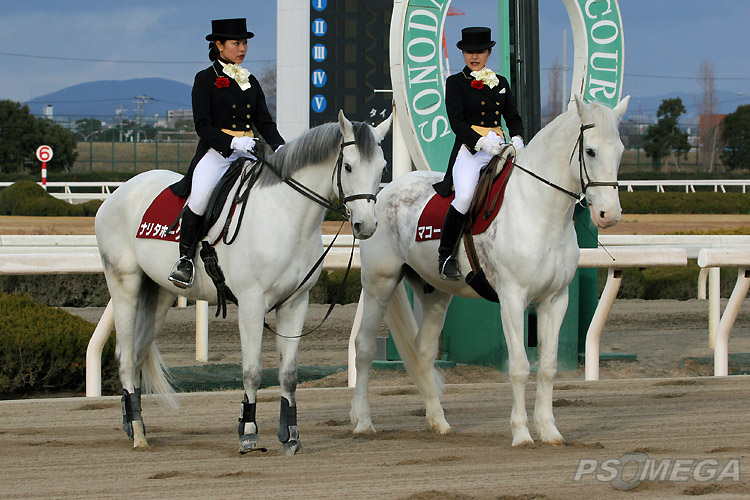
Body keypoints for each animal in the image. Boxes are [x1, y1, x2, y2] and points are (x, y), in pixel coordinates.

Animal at [95, 110, 392, 454]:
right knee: (126, 357)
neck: (283, 213)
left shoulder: (296, 303)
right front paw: (248, 432)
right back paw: (139, 434)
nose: (366, 225)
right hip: (125, 286)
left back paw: (132, 422)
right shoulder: (251, 304)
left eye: (382, 168)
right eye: (348, 166)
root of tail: (120, 192)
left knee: (139, 354)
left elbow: (289, 374)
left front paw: (290, 435)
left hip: (159, 294)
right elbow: (252, 372)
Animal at [350, 95, 629, 446]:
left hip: (436, 293)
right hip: (380, 284)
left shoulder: (555, 300)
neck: (538, 209)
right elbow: (520, 367)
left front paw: (549, 430)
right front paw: (522, 433)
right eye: (590, 151)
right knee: (363, 347)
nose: (610, 215)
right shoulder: (512, 298)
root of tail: (385, 193)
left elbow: (548, 366)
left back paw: (439, 422)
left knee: (424, 352)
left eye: (620, 150)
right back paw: (362, 421)